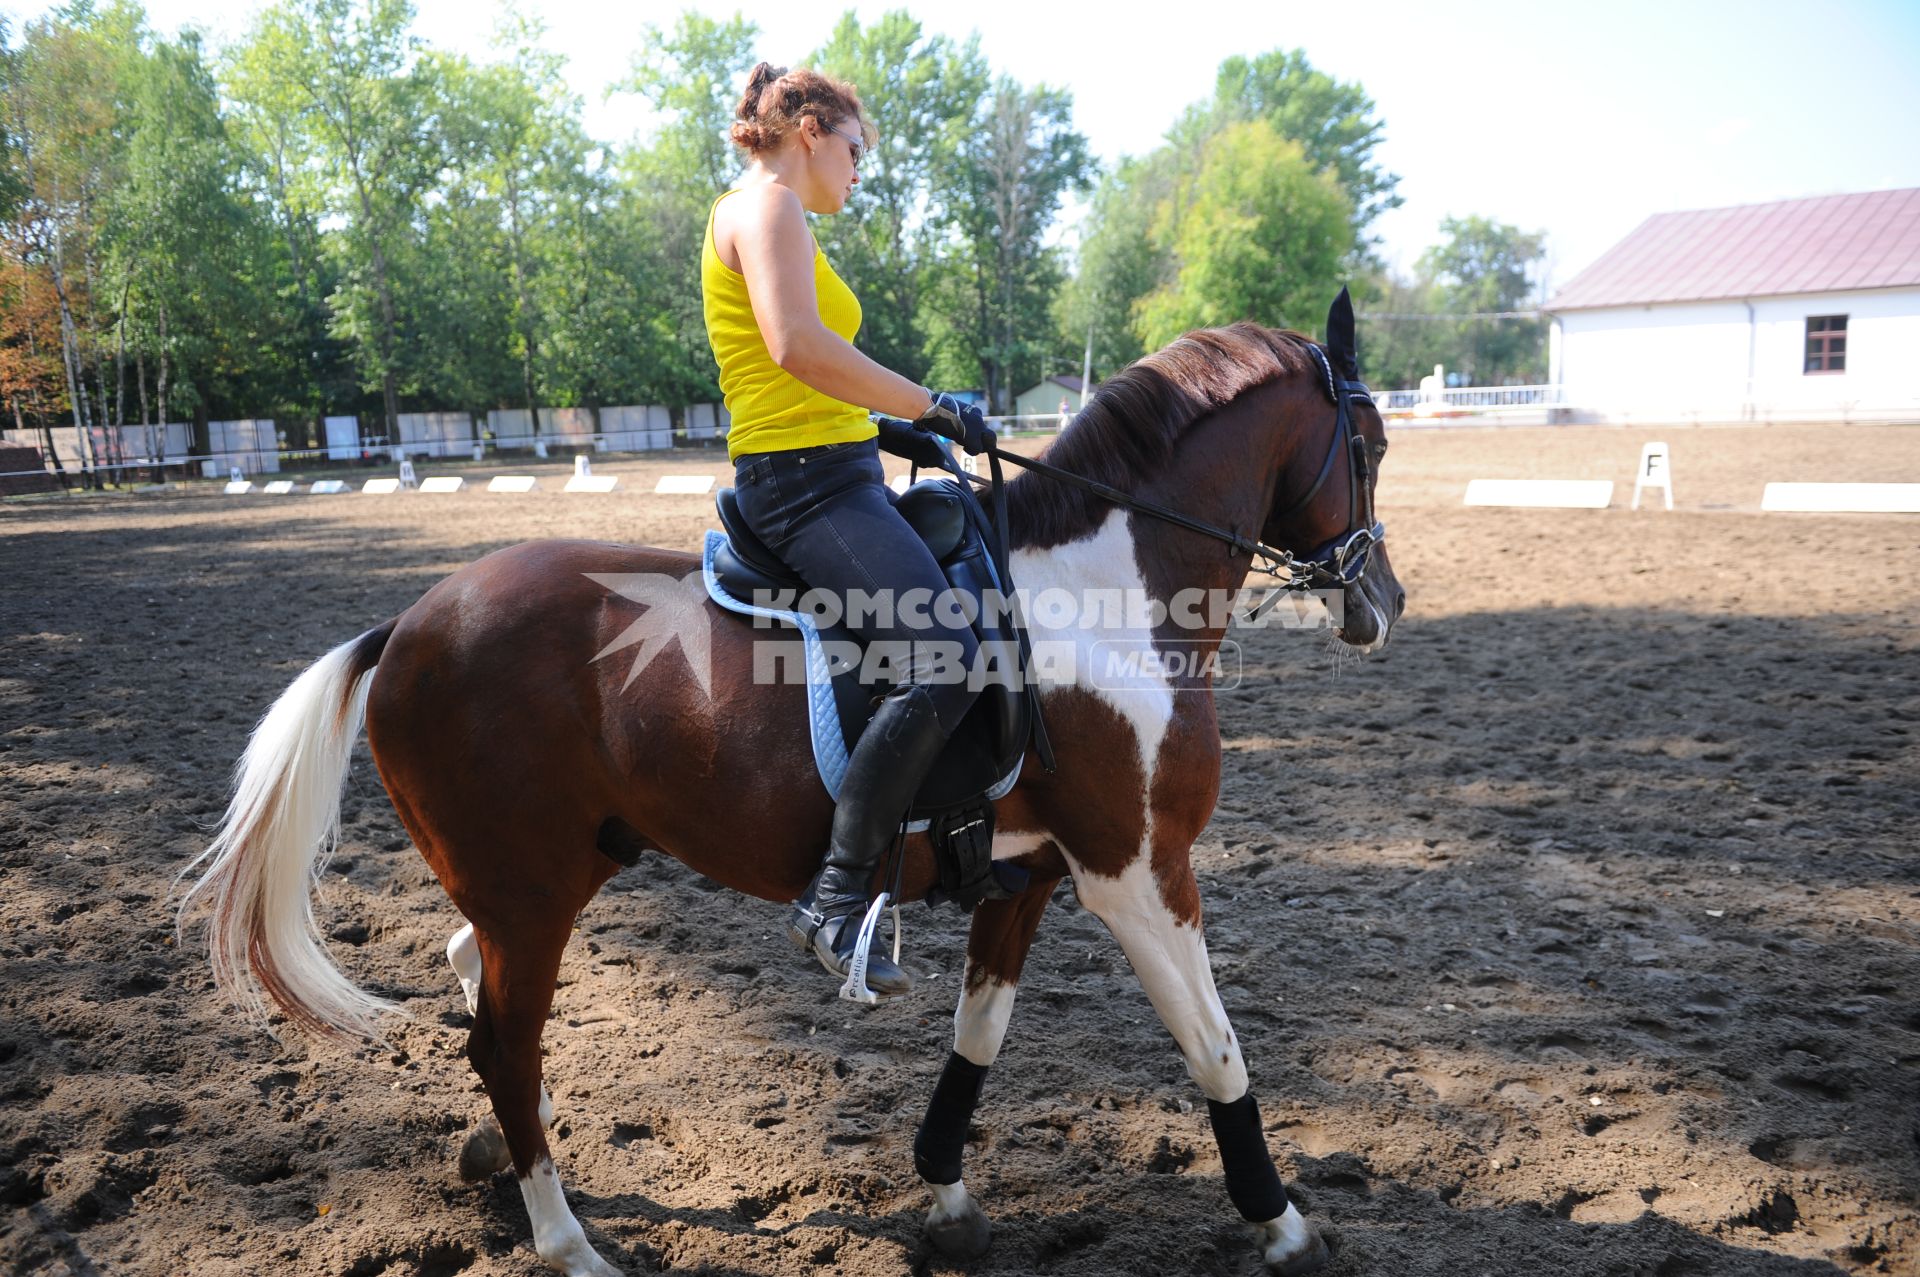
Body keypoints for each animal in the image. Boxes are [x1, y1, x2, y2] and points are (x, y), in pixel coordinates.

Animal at [183, 301, 1397, 1275]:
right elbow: (1215, 1045)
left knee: (466, 973)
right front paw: (1285, 1223)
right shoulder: (1139, 872)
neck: (1104, 601)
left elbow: (980, 1035)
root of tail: (408, 624)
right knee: (504, 1044)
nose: (1380, 598)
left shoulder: (1029, 878)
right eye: (1372, 440)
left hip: (550, 870)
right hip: (533, 895)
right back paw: (567, 1239)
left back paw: (498, 1152)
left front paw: (948, 1196)